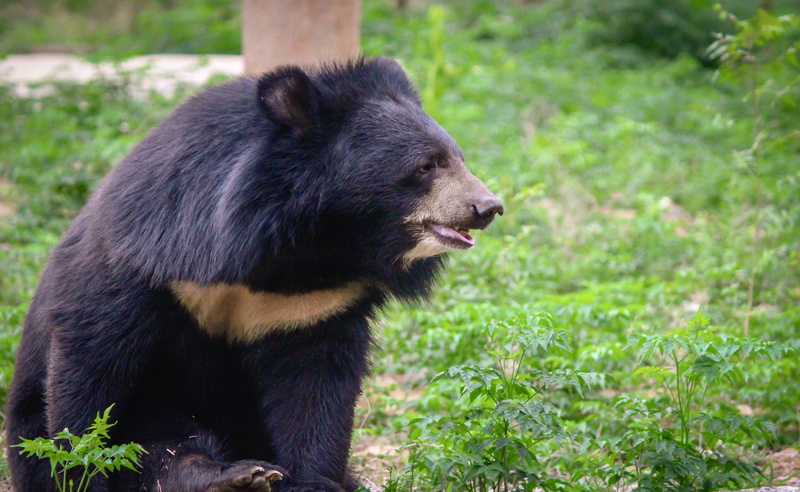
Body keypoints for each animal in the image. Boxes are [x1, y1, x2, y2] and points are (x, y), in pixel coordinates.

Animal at [4, 57, 503, 492]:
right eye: (426, 165)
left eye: (457, 157)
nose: (488, 207)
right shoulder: (149, 256)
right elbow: (92, 360)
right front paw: (77, 471)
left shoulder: (317, 303)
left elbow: (315, 388)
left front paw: (312, 481)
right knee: (162, 448)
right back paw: (228, 477)